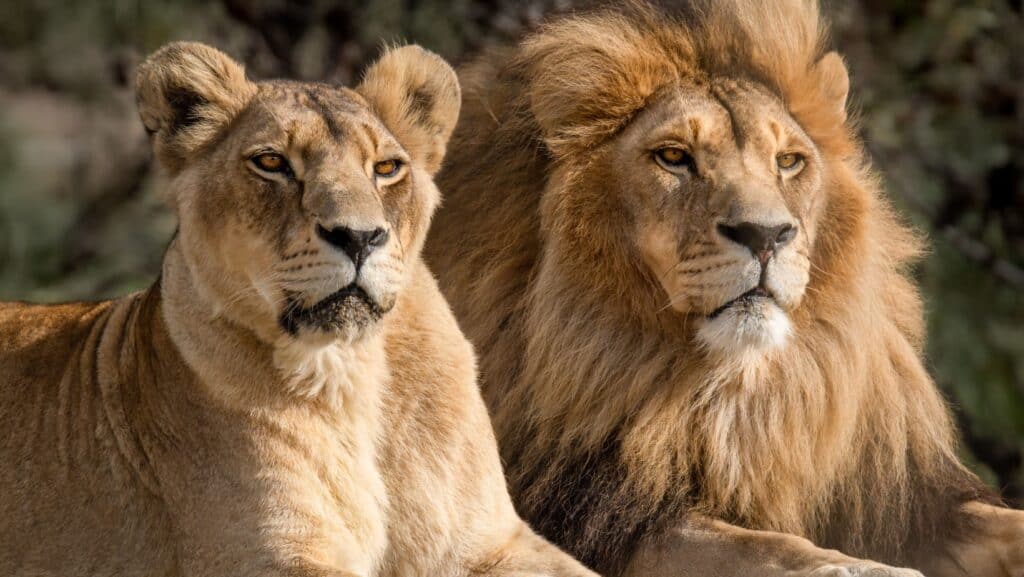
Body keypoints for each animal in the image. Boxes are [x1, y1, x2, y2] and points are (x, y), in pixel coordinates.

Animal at [0, 41, 598, 577]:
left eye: (387, 167)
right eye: (271, 163)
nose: (359, 237)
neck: (353, 373)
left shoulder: (487, 543)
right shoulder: (266, 556)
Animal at [424, 2, 1024, 576]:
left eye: (789, 162)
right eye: (673, 157)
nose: (766, 235)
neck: (734, 392)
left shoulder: (904, 500)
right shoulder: (595, 511)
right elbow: (748, 545)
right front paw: (853, 567)